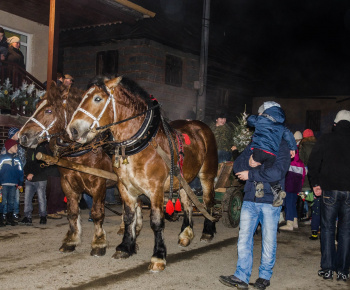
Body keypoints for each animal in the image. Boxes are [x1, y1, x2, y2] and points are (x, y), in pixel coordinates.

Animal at [19, 84, 123, 256]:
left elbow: (97, 213)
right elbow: (73, 212)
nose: (22, 137)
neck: (81, 152)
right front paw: (71, 241)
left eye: (49, 110)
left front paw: (98, 243)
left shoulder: (98, 184)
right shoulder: (67, 183)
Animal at [66, 76, 219, 270]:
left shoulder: (155, 189)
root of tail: (200, 126)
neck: (138, 145)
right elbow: (128, 217)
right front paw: (125, 247)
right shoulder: (125, 188)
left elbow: (156, 222)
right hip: (183, 178)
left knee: (207, 201)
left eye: (97, 99)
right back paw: (186, 234)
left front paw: (158, 256)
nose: (72, 130)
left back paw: (208, 231)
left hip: (207, 174)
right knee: (187, 203)